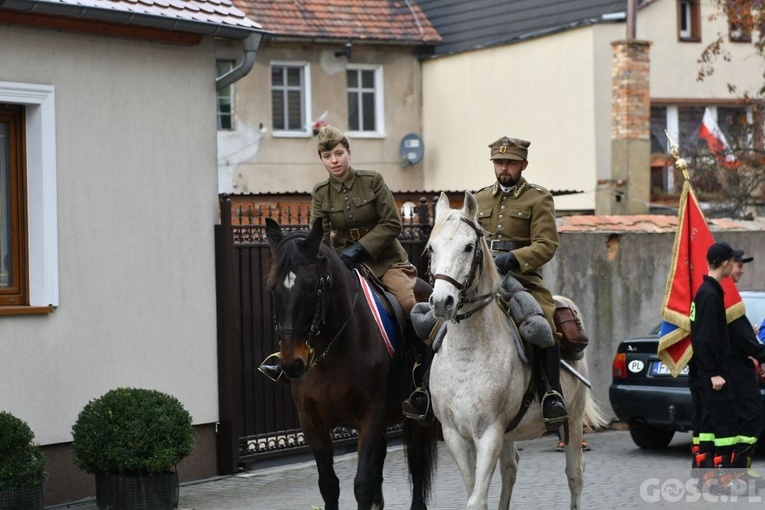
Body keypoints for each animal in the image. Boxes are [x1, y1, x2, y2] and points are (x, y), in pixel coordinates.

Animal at [262, 219, 432, 510]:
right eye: (273, 288)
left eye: (312, 286)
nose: (292, 363)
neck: (332, 355)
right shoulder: (311, 422)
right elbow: (329, 485)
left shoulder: (370, 415)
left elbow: (362, 484)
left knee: (418, 463)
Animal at [426, 192, 604, 510]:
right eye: (431, 248)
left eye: (468, 247)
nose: (441, 302)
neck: (467, 354)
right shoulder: (454, 435)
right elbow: (473, 490)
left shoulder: (490, 433)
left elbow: (476, 500)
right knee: (511, 469)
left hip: (572, 419)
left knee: (575, 474)